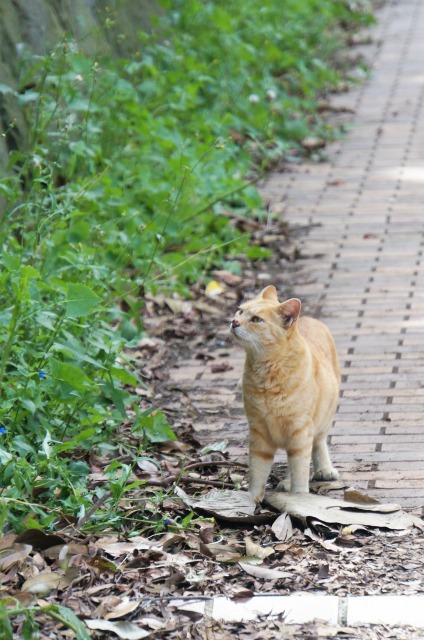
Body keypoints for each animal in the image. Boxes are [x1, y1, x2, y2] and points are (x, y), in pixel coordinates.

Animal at [230, 285, 340, 503]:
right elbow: (258, 471)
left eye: (256, 319)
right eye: (240, 311)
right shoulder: (258, 433)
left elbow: (300, 469)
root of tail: (308, 318)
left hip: (321, 421)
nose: (234, 321)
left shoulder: (299, 430)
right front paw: (252, 500)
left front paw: (299, 498)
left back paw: (323, 469)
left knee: (317, 444)